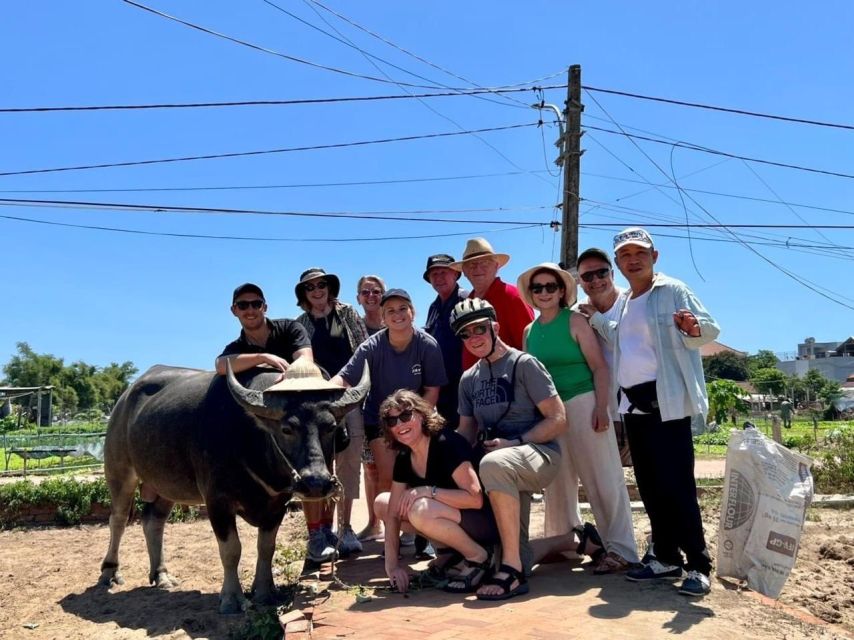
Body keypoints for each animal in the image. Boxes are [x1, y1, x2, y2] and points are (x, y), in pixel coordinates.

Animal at [98, 360, 370, 616]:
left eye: (331, 427)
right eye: (287, 428)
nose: (316, 482)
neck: (251, 439)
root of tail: (124, 399)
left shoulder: (277, 504)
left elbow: (266, 548)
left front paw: (265, 592)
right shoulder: (217, 502)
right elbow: (231, 550)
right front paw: (231, 599)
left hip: (166, 485)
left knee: (153, 521)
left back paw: (161, 575)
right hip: (119, 470)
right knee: (118, 519)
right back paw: (109, 573)